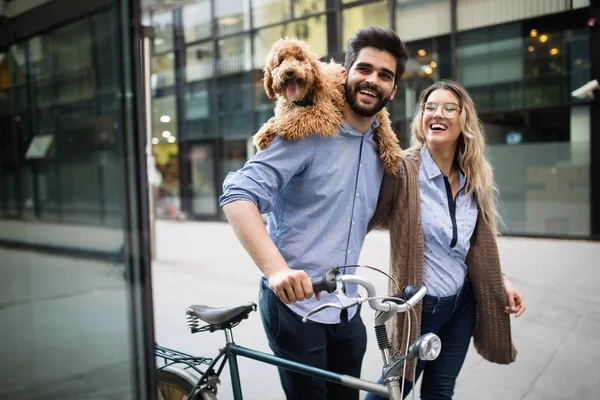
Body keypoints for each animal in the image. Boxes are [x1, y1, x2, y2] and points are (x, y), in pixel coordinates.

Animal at [251, 38, 400, 174]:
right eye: (281, 61)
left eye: (299, 58)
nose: (290, 71)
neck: (302, 99)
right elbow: (275, 119)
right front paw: (264, 132)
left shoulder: (325, 112)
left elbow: (303, 115)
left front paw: (283, 126)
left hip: (381, 118)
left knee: (385, 129)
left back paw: (391, 152)